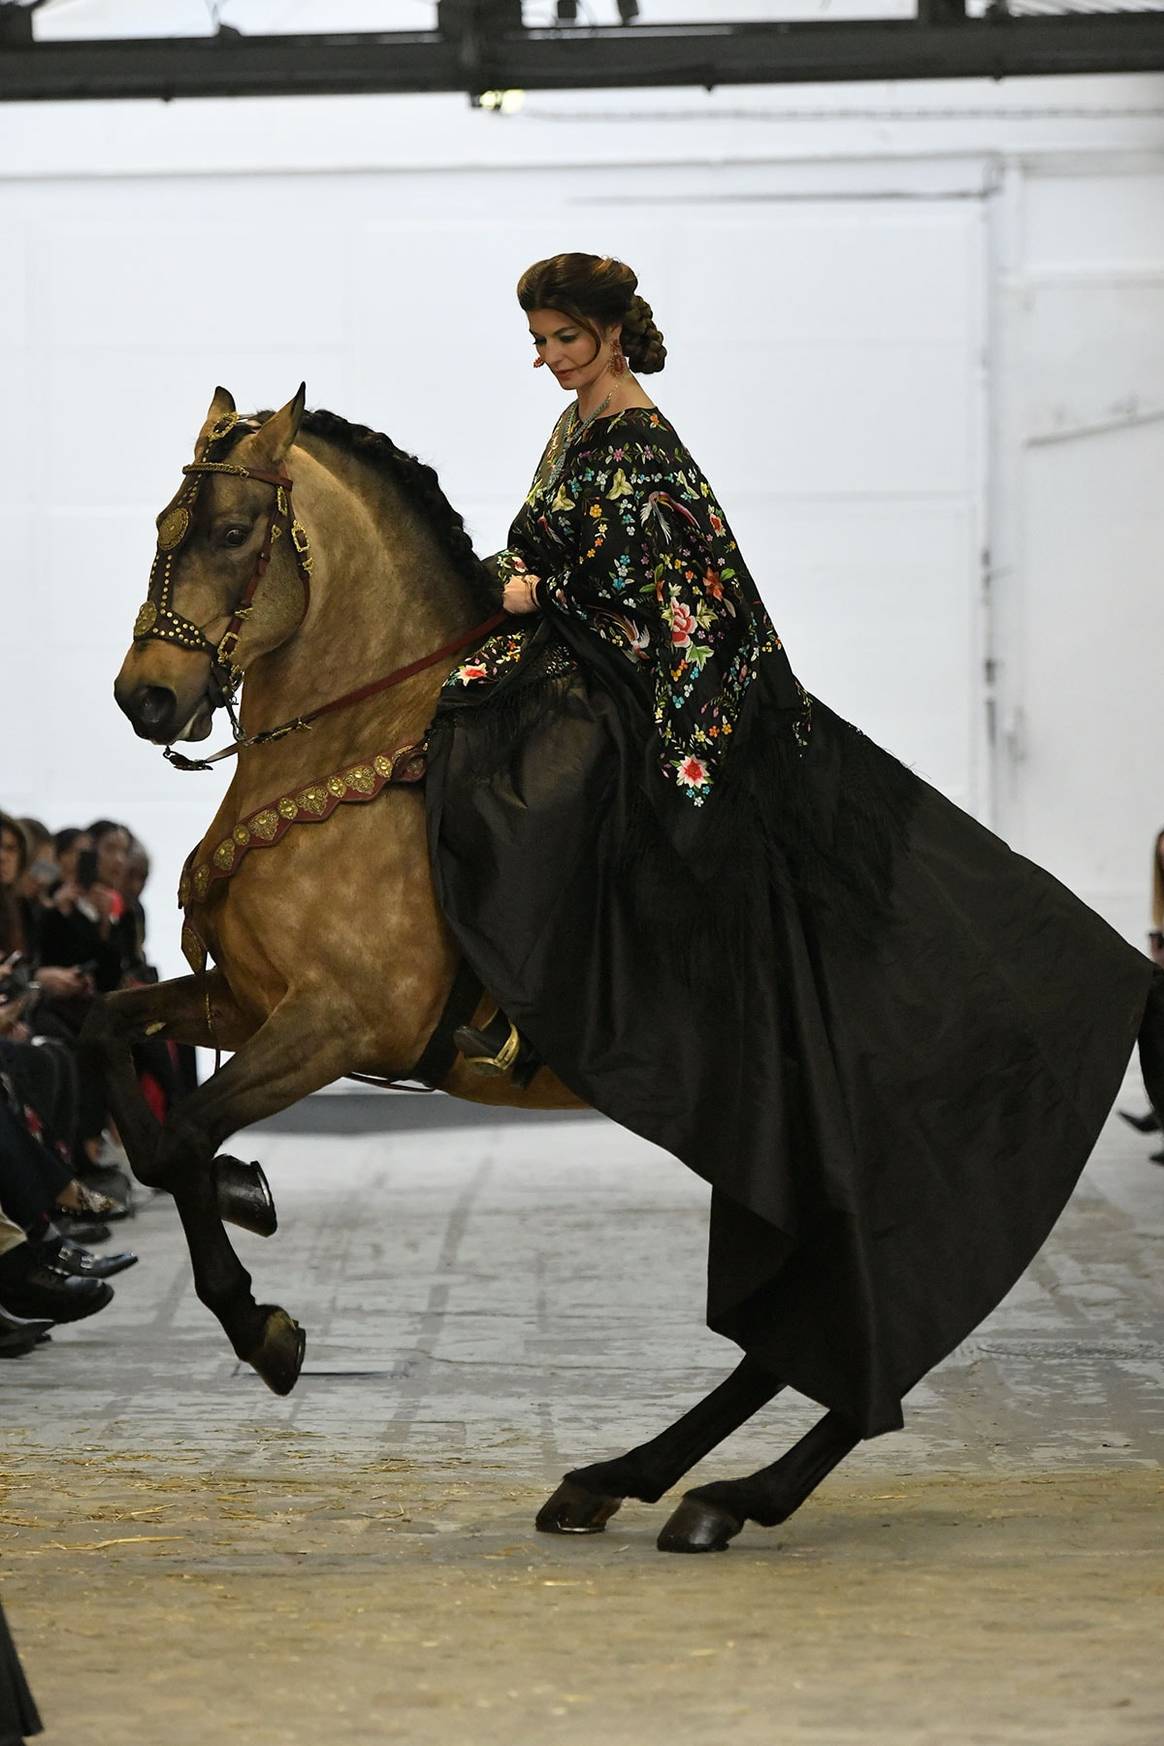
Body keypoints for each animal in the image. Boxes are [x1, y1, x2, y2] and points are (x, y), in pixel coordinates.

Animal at [100, 385, 914, 1557]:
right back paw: (648, 1485)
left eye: (232, 533)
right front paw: (247, 1191)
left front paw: (265, 1329)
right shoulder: (245, 1001)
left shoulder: (335, 1024)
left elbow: (178, 1133)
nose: (147, 700)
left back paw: (705, 1494)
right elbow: (111, 1041)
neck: (360, 753)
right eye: (165, 526)